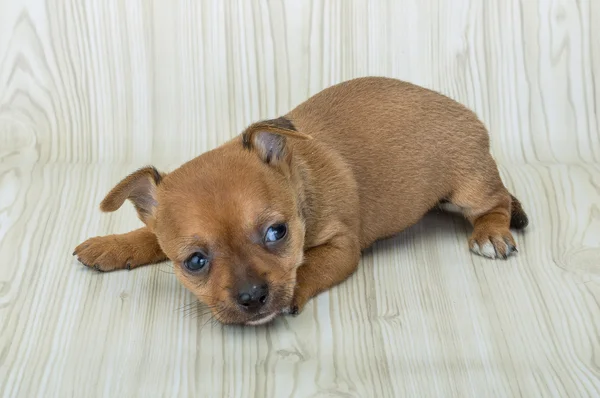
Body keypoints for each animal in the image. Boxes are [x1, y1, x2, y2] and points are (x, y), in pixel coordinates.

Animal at [72, 77, 528, 326]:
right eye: (194, 262)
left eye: (278, 233)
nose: (252, 297)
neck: (300, 180)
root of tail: (469, 116)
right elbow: (150, 236)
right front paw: (112, 245)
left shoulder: (342, 250)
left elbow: (309, 266)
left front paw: (291, 291)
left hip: (470, 186)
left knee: (498, 202)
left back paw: (492, 233)